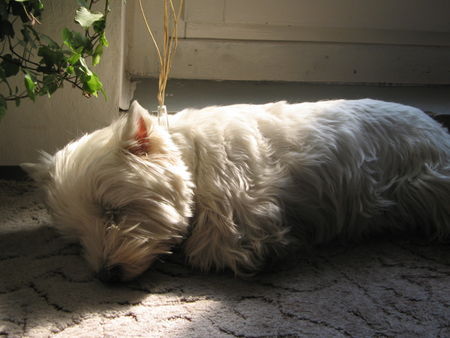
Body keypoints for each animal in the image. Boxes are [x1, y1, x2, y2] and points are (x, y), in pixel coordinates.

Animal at [22, 98, 450, 282]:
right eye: (76, 237)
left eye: (113, 211)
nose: (106, 275)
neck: (191, 155)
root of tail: (436, 126)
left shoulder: (244, 197)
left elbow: (215, 245)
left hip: (427, 178)